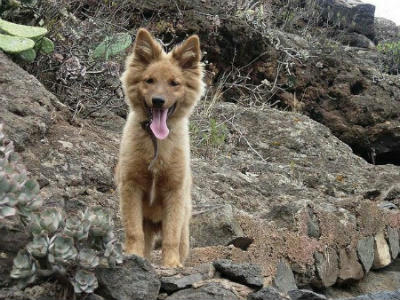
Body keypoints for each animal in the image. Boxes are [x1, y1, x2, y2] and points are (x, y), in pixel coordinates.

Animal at [115, 28, 203, 268]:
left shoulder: (174, 192)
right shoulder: (131, 187)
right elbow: (134, 231)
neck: (156, 144)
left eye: (174, 83)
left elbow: (171, 235)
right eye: (149, 80)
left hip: (184, 225)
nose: (158, 101)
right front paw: (134, 256)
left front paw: (171, 264)